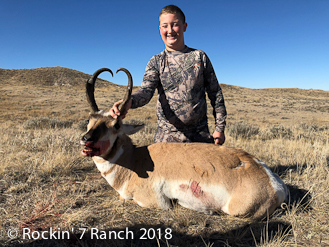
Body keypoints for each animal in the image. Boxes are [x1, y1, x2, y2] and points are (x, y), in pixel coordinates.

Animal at [80, 68, 288, 219]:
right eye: (89, 119)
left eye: (116, 125)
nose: (86, 139)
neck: (135, 160)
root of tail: (274, 184)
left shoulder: (153, 201)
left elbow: (123, 198)